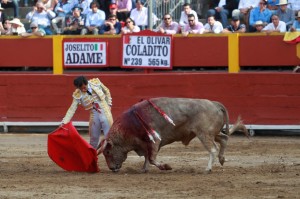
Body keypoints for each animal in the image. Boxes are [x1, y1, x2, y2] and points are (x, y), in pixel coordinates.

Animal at [98, 98, 248, 173]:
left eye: (107, 152)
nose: (111, 168)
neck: (130, 125)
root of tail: (215, 104)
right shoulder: (147, 144)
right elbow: (147, 158)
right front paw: (144, 169)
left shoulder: (154, 142)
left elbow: (151, 158)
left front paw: (166, 167)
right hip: (211, 133)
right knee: (224, 138)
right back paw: (222, 159)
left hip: (204, 133)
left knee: (213, 149)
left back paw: (208, 168)